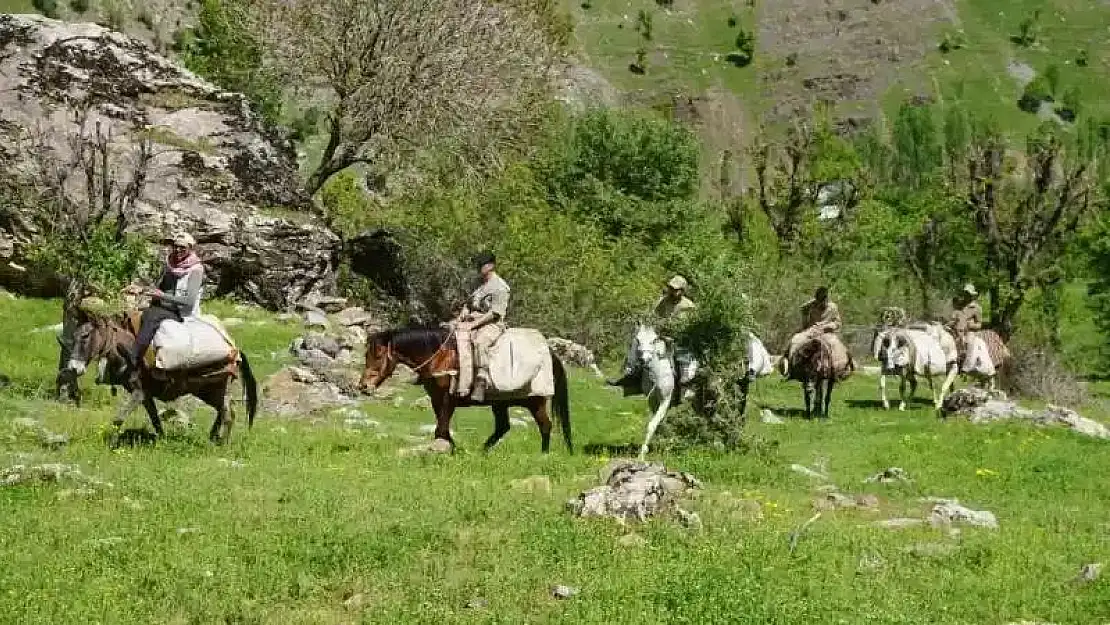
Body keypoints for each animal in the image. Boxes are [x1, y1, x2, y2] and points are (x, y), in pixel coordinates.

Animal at [64, 313, 257, 444]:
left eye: (85, 336)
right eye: (73, 336)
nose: (73, 367)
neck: (128, 350)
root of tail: (235, 351)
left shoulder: (139, 393)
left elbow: (119, 417)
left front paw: (111, 443)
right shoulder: (145, 395)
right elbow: (154, 418)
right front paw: (162, 439)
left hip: (217, 387)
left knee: (228, 413)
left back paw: (222, 443)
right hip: (207, 391)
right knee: (222, 410)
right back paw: (213, 437)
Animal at [359, 326, 572, 452]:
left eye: (378, 355)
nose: (363, 386)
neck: (440, 357)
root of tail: (548, 354)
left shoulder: (448, 399)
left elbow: (440, 428)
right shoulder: (436, 400)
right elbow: (442, 428)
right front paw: (452, 448)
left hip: (535, 401)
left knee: (545, 426)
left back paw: (543, 454)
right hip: (500, 404)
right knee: (503, 427)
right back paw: (482, 452)